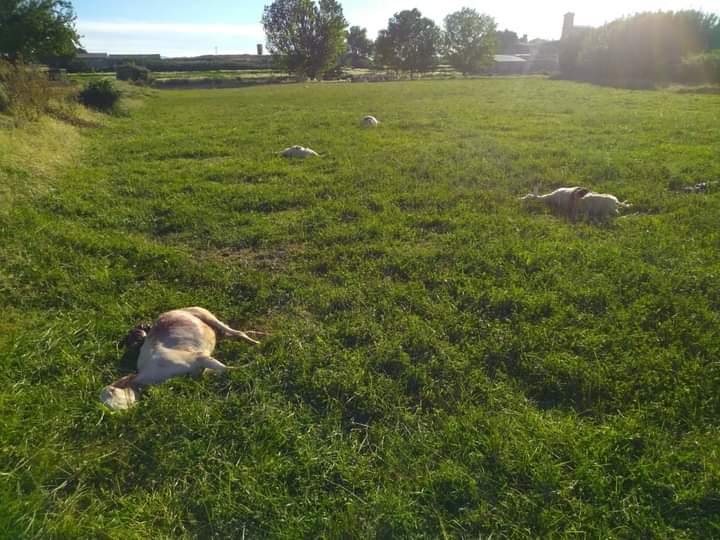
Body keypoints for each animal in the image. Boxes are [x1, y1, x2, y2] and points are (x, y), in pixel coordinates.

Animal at [101, 308, 268, 410]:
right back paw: (264, 335)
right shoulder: (200, 370)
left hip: (207, 315)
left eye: (112, 392)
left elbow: (227, 369)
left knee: (238, 332)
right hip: (216, 332)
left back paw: (257, 343)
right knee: (236, 333)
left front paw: (254, 364)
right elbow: (219, 372)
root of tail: (175, 310)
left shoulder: (198, 358)